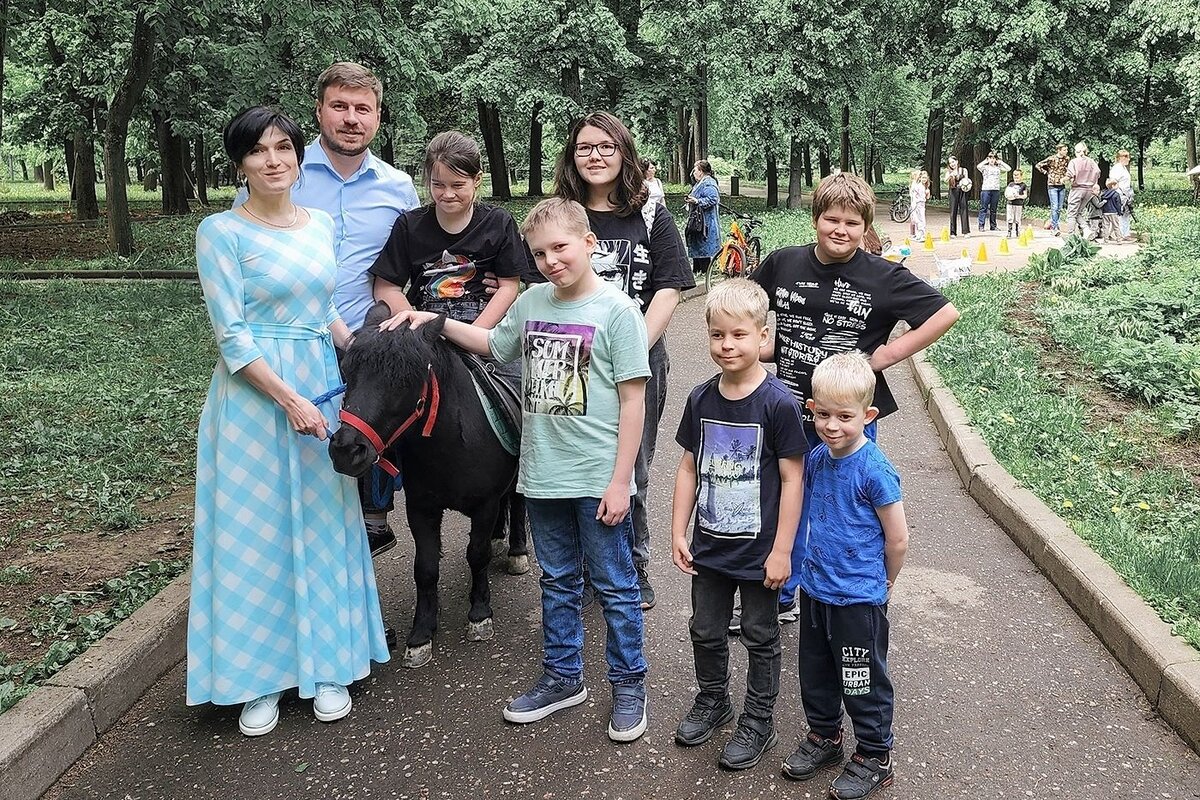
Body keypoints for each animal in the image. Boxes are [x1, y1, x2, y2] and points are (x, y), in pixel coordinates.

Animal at [333, 303, 530, 666]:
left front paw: (479, 615)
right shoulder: (421, 508)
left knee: (518, 502)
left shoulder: (483, 504)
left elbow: (476, 555)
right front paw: (421, 634)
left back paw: (517, 551)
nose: (346, 450)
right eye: (348, 371)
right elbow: (424, 568)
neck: (451, 443)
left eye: (405, 379)